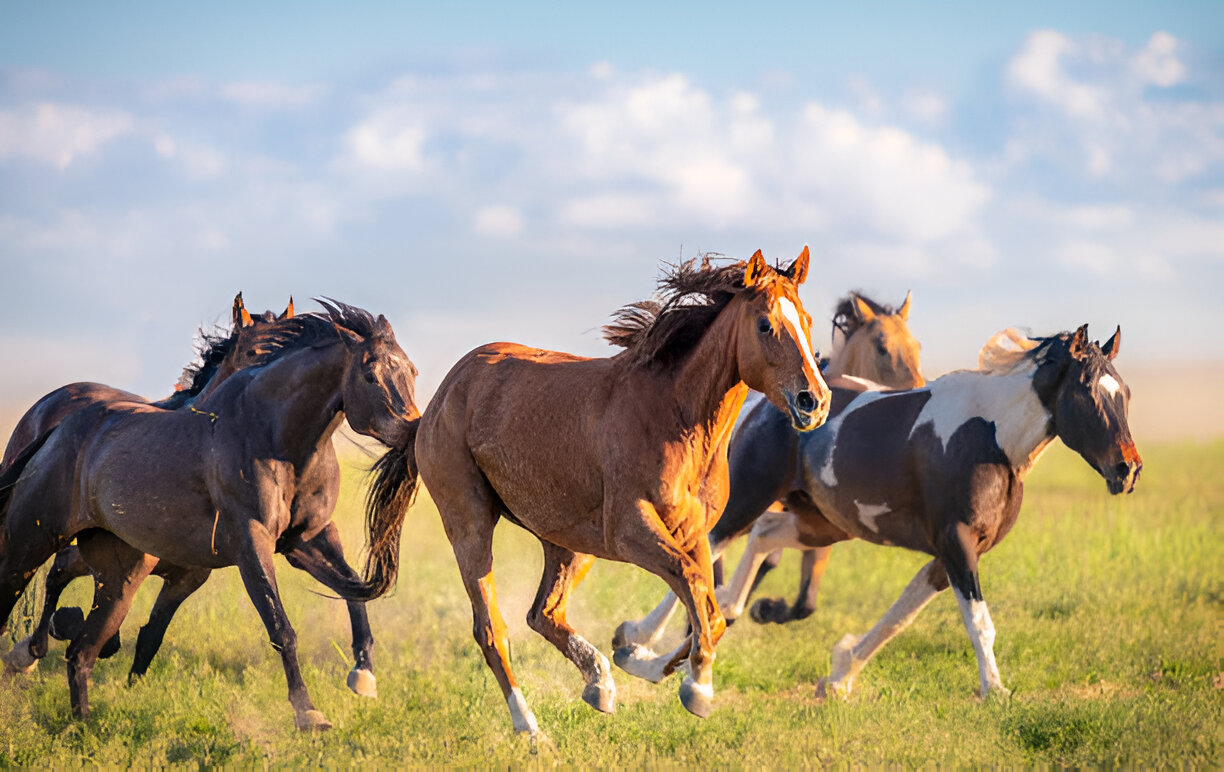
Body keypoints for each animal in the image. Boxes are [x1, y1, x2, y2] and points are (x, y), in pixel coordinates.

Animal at [0, 300, 420, 730]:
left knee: (80, 644)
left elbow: (353, 590)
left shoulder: (303, 540)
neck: (271, 435)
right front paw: (308, 713)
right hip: (29, 543)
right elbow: (280, 626)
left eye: (412, 371)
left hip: (117, 572)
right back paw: (29, 657)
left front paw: (363, 677)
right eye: (370, 374)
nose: (412, 429)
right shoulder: (251, 543)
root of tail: (55, 428)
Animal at [407, 249, 829, 738]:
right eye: (765, 324)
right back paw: (530, 728)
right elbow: (694, 587)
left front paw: (640, 658)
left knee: (543, 613)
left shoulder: (694, 534)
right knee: (492, 629)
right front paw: (697, 688)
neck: (676, 420)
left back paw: (599, 685)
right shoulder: (630, 531)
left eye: (807, 319)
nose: (815, 401)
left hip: (570, 542)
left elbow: (710, 609)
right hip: (470, 525)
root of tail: (445, 392)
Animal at [612, 290, 925, 649]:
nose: (920, 388)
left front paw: (763, 608)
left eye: (916, 346)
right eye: (882, 347)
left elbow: (804, 601)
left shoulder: (816, 525)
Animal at [709, 325, 1141, 700]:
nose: (1128, 469)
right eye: (1087, 393)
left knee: (763, 535)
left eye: (1125, 393)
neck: (991, 439)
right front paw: (995, 691)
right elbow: (979, 623)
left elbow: (899, 618)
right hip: (749, 497)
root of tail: (762, 403)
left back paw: (736, 609)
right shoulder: (956, 543)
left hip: (823, 523)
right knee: (710, 545)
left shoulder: (952, 553)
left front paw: (838, 676)